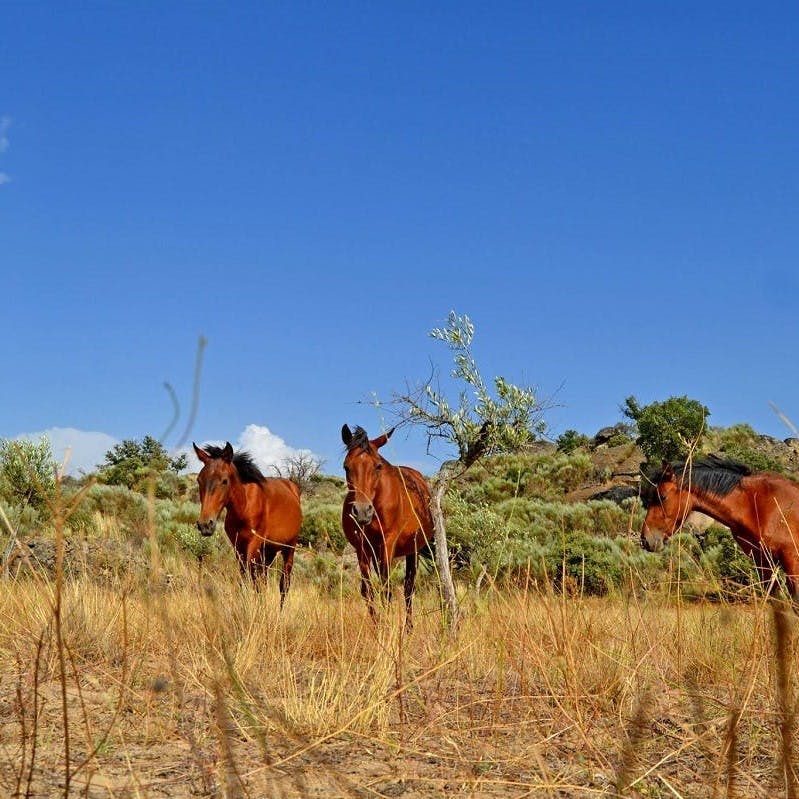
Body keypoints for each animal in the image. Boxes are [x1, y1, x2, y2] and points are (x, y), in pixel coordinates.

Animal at [194, 444, 304, 608]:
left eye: (224, 481)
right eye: (199, 480)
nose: (205, 524)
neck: (244, 507)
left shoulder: (253, 544)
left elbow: (253, 580)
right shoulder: (238, 547)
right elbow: (246, 580)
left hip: (289, 548)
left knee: (283, 584)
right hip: (268, 552)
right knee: (263, 580)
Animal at [342, 422, 434, 628]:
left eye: (378, 466)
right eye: (346, 467)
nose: (362, 511)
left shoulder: (388, 543)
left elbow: (387, 588)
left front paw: (387, 627)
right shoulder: (362, 547)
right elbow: (367, 590)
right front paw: (378, 626)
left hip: (413, 551)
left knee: (409, 588)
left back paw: (408, 628)